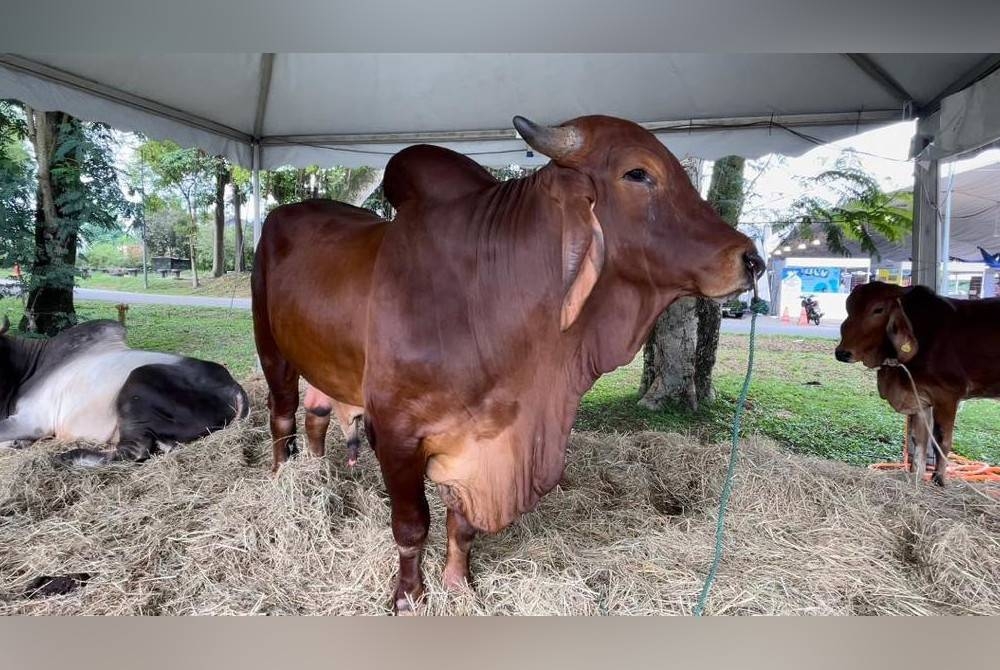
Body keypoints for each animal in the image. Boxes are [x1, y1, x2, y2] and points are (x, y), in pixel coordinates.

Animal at [0, 316, 248, 464]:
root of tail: (231, 385)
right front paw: (17, 443)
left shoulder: (32, 420)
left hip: (138, 384)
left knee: (134, 451)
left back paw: (69, 457)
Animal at [252, 115, 764, 616]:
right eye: (638, 173)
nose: (752, 259)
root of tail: (281, 214)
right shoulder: (397, 435)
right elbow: (412, 527)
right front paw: (409, 598)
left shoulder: (478, 441)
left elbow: (461, 525)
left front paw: (459, 586)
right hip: (272, 349)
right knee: (282, 417)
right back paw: (282, 483)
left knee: (316, 416)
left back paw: (317, 476)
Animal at [832, 280, 1000, 486]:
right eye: (849, 307)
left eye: (878, 309)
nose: (842, 353)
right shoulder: (920, 397)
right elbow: (918, 439)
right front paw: (916, 476)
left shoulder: (948, 395)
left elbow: (942, 440)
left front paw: (939, 479)